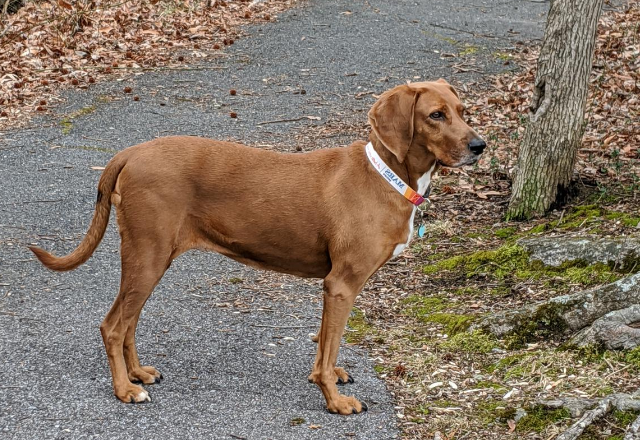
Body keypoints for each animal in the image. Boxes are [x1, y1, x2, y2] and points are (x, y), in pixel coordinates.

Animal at [30, 80, 484, 416]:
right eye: (436, 115)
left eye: (463, 111)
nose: (480, 147)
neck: (387, 175)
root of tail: (129, 152)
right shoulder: (342, 284)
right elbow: (330, 345)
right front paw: (335, 401)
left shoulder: (332, 286)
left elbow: (325, 343)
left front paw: (327, 377)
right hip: (147, 256)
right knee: (112, 325)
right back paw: (125, 390)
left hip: (151, 259)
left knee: (128, 323)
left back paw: (138, 373)